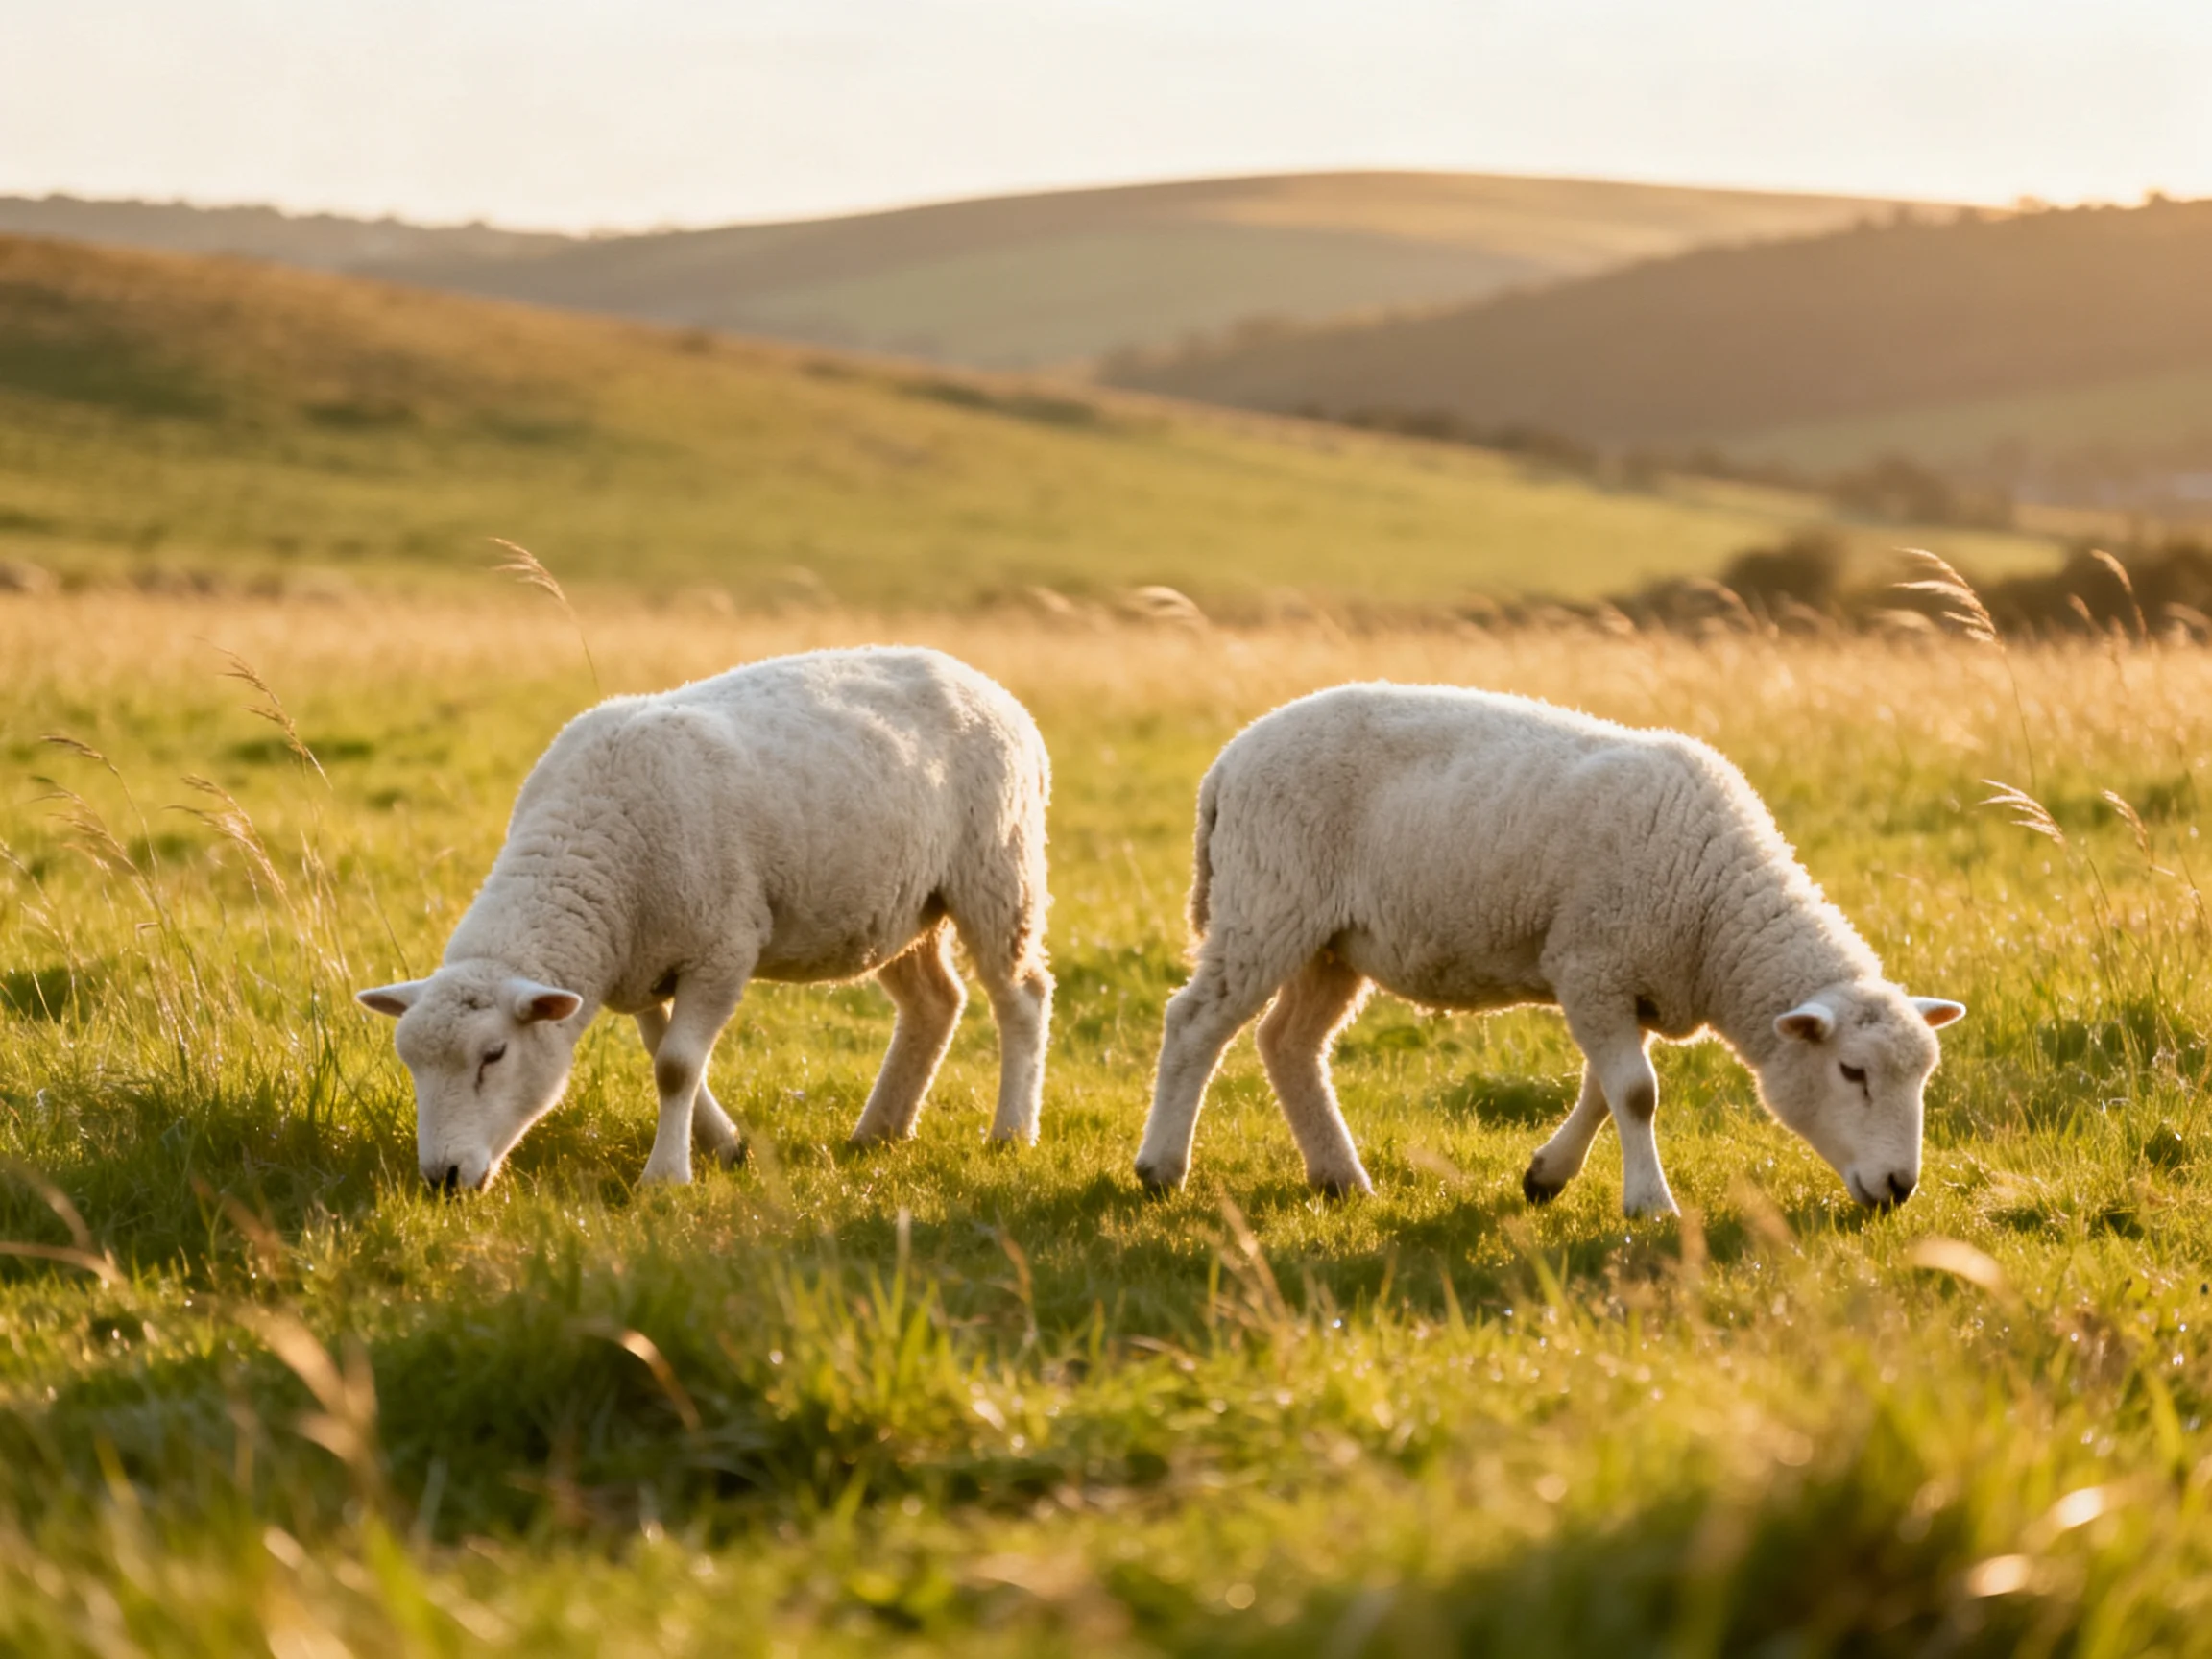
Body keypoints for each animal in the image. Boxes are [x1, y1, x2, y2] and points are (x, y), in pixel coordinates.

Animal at [358, 646, 1053, 1191]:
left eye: (494, 1055)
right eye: (411, 1064)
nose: (442, 1179)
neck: (589, 847)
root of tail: (985, 683)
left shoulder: (722, 947)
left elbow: (676, 1066)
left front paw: (667, 1176)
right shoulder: (637, 961)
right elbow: (662, 1050)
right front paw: (724, 1145)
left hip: (997, 868)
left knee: (1021, 997)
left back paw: (1011, 1133)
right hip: (900, 905)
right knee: (935, 1002)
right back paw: (880, 1130)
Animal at [1132, 683, 1964, 1216]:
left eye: (1924, 1077)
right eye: (1852, 1072)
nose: (1901, 1188)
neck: (1714, 911)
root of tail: (1232, 757)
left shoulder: (1621, 983)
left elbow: (1606, 1088)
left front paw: (1546, 1178)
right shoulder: (1592, 963)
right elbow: (1637, 1092)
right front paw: (1651, 1204)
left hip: (1330, 940)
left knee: (1288, 1044)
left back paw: (1339, 1178)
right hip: (1267, 902)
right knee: (1196, 1022)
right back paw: (1161, 1169)